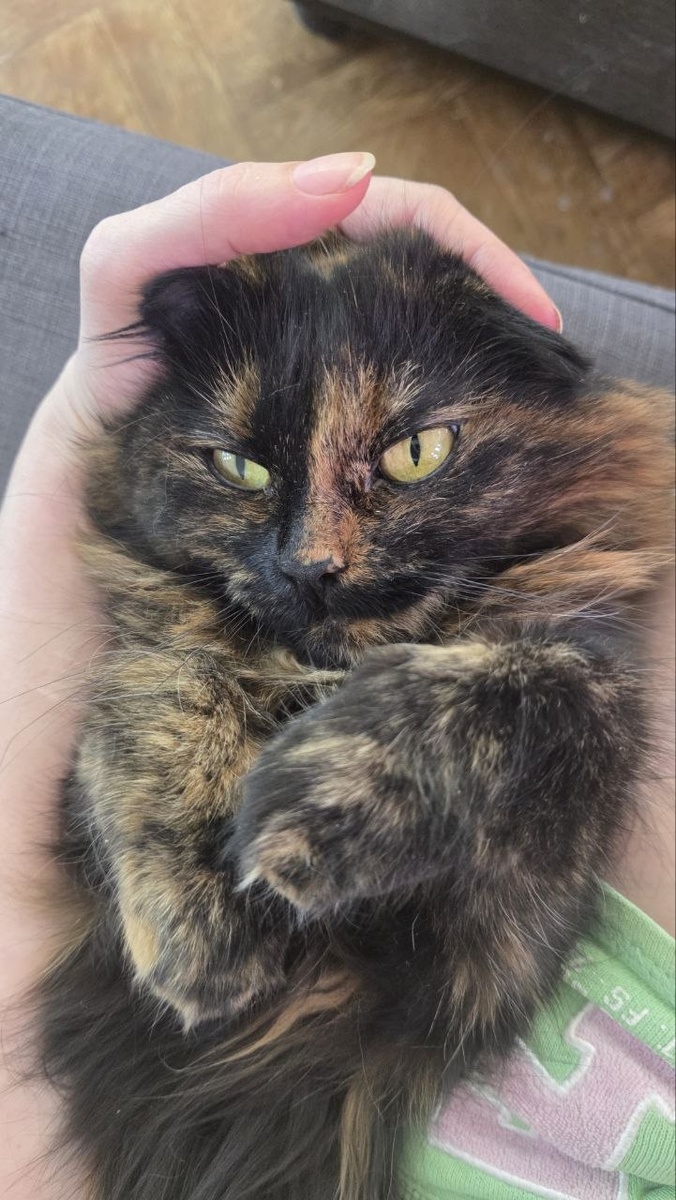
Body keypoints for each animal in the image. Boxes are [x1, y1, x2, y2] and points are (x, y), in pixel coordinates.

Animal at [38, 229, 674, 1200]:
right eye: (241, 467)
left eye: (418, 453)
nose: (311, 568)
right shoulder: (98, 755)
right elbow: (160, 685)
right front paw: (200, 934)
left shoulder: (496, 942)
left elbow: (552, 686)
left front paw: (325, 802)